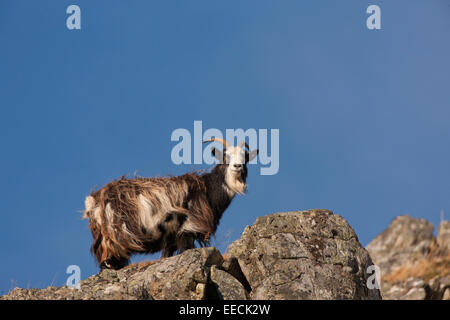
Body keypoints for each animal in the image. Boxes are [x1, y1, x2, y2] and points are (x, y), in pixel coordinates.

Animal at [82, 138, 258, 270]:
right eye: (225, 157)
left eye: (245, 157)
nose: (237, 166)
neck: (207, 189)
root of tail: (94, 200)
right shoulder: (188, 228)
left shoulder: (170, 238)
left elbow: (166, 255)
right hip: (115, 240)